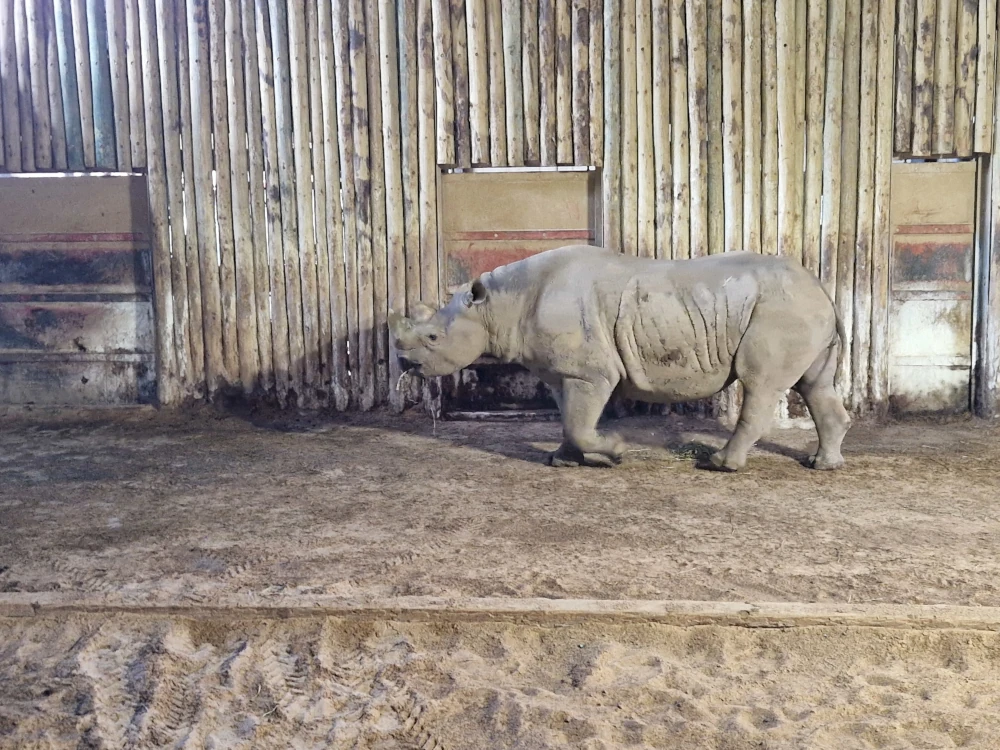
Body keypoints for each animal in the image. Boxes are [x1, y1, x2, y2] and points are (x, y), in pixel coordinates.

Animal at [390, 245, 851, 471]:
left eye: (432, 336)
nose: (403, 363)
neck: (499, 305)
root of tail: (820, 287)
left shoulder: (590, 372)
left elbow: (580, 423)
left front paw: (614, 451)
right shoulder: (561, 372)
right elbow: (569, 418)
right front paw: (564, 460)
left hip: (782, 310)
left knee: (761, 385)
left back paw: (719, 466)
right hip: (799, 309)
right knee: (814, 385)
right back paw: (822, 466)